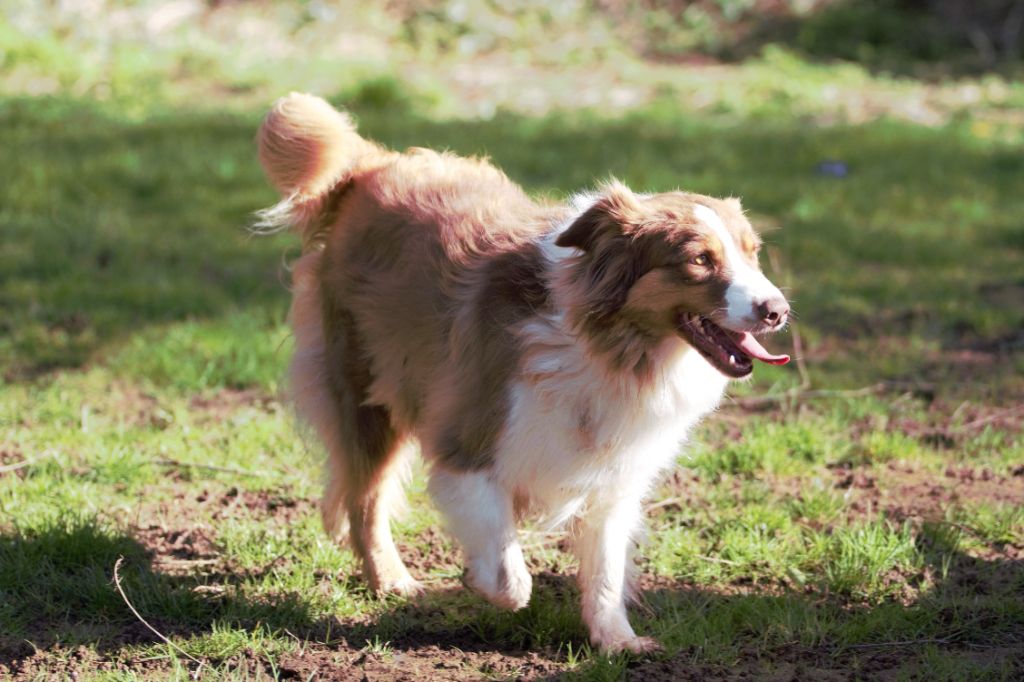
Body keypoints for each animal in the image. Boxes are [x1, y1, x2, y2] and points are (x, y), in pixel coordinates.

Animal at [256, 93, 790, 651]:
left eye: (752, 253)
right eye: (700, 260)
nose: (777, 310)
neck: (612, 347)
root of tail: (373, 163)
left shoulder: (615, 474)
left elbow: (606, 568)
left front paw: (616, 641)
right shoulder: (468, 443)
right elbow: (512, 577)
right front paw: (480, 582)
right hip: (365, 392)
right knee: (366, 499)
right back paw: (392, 580)